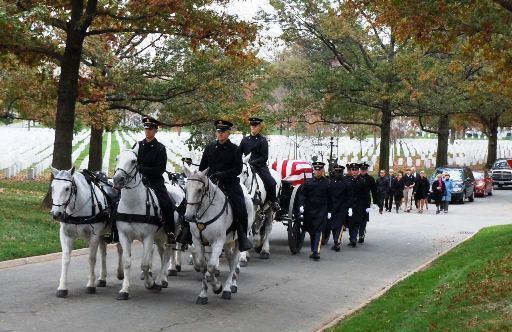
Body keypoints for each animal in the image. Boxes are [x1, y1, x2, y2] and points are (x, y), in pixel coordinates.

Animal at [50, 166, 123, 298]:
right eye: (52, 187)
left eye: (67, 188)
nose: (56, 214)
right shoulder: (65, 235)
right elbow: (66, 259)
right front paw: (62, 287)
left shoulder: (94, 236)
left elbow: (91, 258)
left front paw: (90, 285)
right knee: (103, 252)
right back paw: (102, 278)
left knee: (120, 249)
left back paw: (122, 273)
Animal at [113, 147, 173, 300]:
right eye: (117, 158)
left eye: (134, 161)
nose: (117, 180)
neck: (133, 205)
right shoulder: (124, 236)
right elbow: (127, 262)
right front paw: (124, 290)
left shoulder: (148, 237)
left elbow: (145, 264)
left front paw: (150, 283)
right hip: (159, 237)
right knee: (162, 252)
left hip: (169, 236)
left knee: (167, 254)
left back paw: (162, 280)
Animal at [184, 165, 256, 304]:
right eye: (186, 189)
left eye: (199, 190)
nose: (189, 216)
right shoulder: (197, 240)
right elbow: (203, 265)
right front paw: (203, 294)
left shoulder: (217, 241)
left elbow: (211, 266)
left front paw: (217, 287)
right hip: (228, 242)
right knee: (230, 259)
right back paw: (232, 284)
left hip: (237, 241)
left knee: (234, 262)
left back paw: (228, 288)